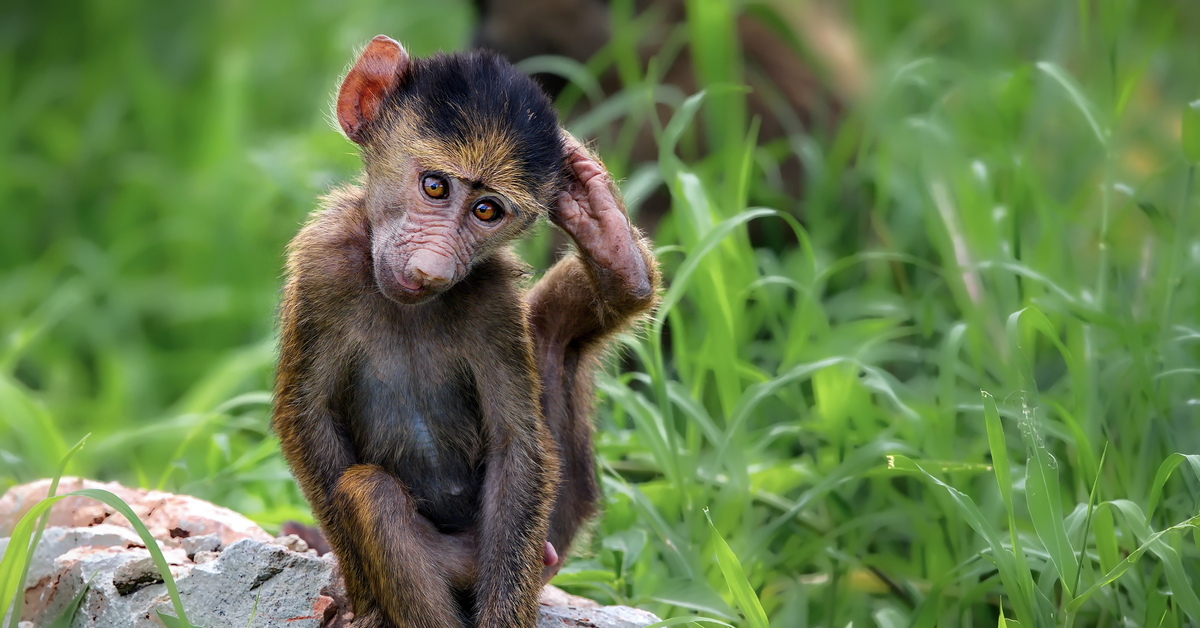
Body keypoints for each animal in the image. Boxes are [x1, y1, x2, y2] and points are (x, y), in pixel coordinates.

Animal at [273, 35, 662, 628]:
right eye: (434, 186)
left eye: (486, 210)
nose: (432, 269)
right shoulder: (323, 265)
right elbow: (309, 419)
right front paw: (357, 592)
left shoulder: (494, 298)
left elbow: (516, 444)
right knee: (370, 492)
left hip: (541, 535)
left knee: (554, 333)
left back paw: (616, 255)